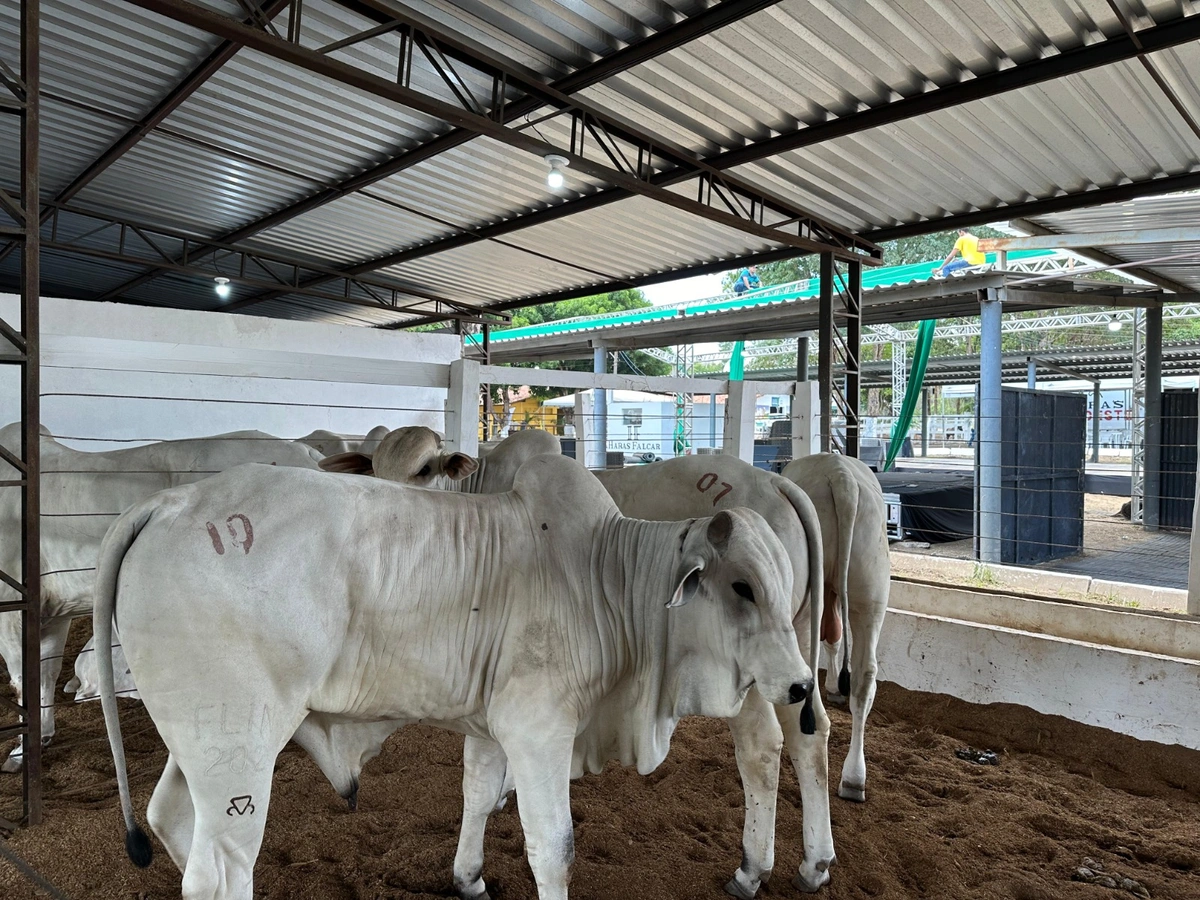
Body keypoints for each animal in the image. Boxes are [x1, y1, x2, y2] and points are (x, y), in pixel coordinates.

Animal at [0, 427, 326, 772]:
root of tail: (303, 453)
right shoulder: (54, 611)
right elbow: (45, 674)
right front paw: (43, 736)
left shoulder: (11, 609)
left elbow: (22, 681)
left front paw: (19, 753)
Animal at [98, 458, 811, 900]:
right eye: (742, 587)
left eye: (781, 584)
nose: (803, 685)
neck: (604, 575)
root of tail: (169, 503)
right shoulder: (539, 729)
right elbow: (553, 847)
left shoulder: (495, 725)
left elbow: (477, 795)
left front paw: (468, 877)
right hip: (239, 748)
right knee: (221, 866)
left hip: (204, 742)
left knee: (170, 819)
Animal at [782, 453, 888, 806]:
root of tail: (842, 478)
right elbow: (835, 636)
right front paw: (835, 687)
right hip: (870, 589)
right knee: (865, 675)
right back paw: (854, 778)